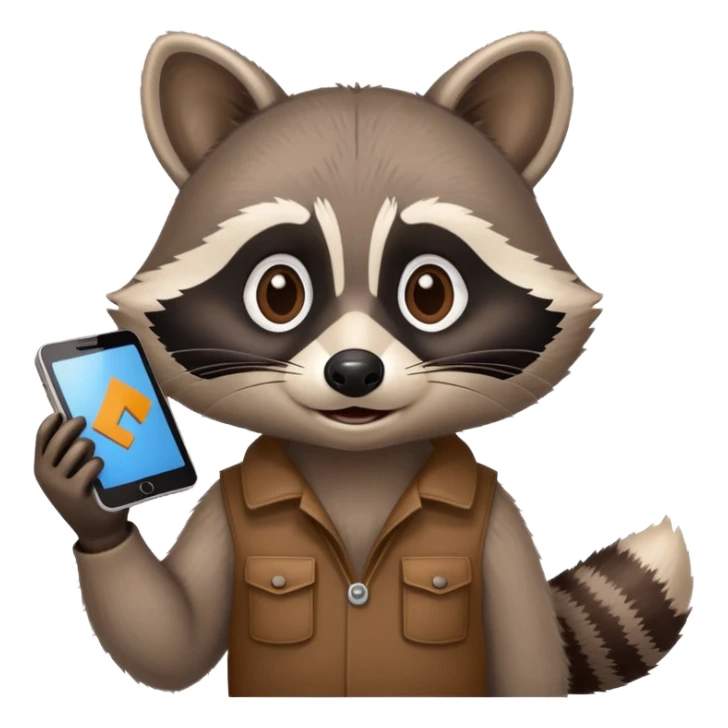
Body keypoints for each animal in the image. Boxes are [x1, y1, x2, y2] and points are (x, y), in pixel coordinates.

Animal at [34, 31, 692, 697]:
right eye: (278, 292)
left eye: (429, 292)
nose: (354, 372)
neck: (356, 468)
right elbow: (173, 642)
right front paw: (88, 504)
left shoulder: (500, 527)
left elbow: (528, 664)